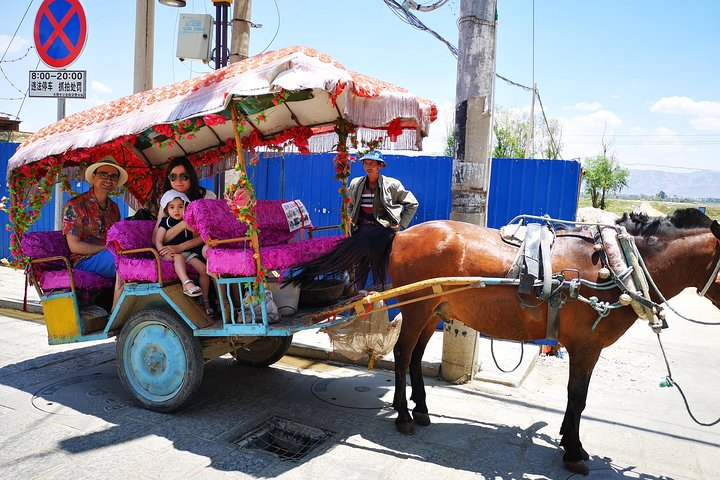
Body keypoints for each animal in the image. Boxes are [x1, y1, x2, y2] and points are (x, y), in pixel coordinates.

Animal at [286, 208, 720, 474]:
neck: (616, 265)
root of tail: (401, 233)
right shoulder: (585, 347)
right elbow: (578, 398)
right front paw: (574, 451)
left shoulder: (584, 348)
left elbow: (575, 399)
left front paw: (568, 441)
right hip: (417, 307)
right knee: (403, 353)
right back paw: (405, 417)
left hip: (434, 309)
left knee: (415, 356)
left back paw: (421, 410)